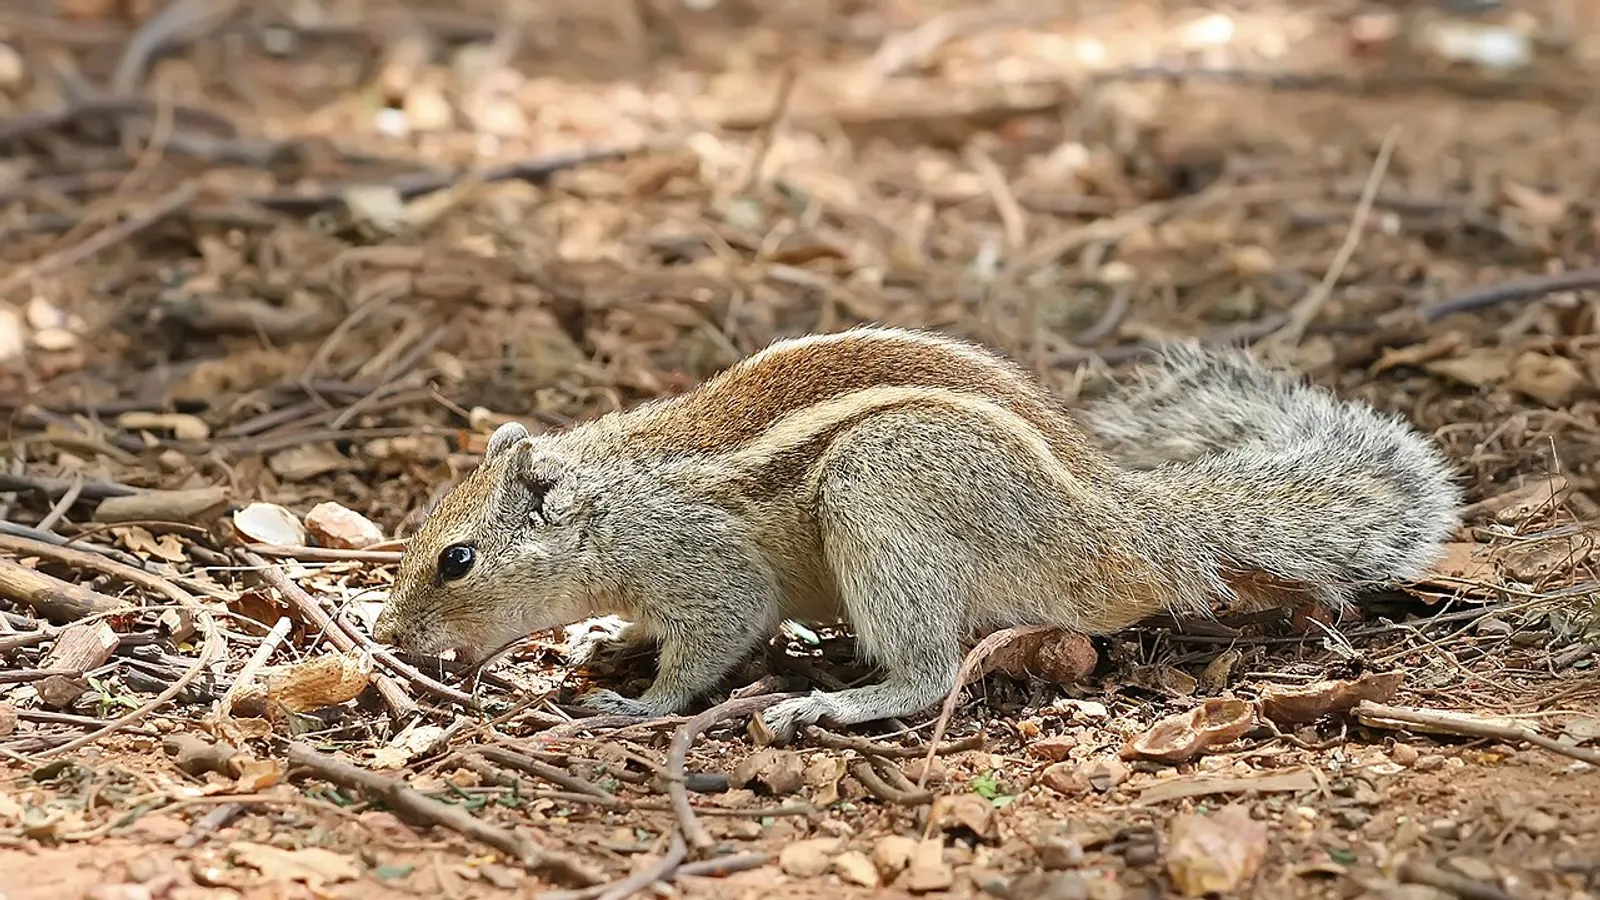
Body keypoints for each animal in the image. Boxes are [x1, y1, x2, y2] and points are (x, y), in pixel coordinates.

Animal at [371, 326, 1462, 741]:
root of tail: (1123, 530)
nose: (387, 639)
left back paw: (831, 703)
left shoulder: (700, 566)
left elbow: (714, 638)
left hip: (881, 487)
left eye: (456, 560)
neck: (606, 497)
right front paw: (606, 644)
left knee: (932, 672)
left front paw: (636, 705)